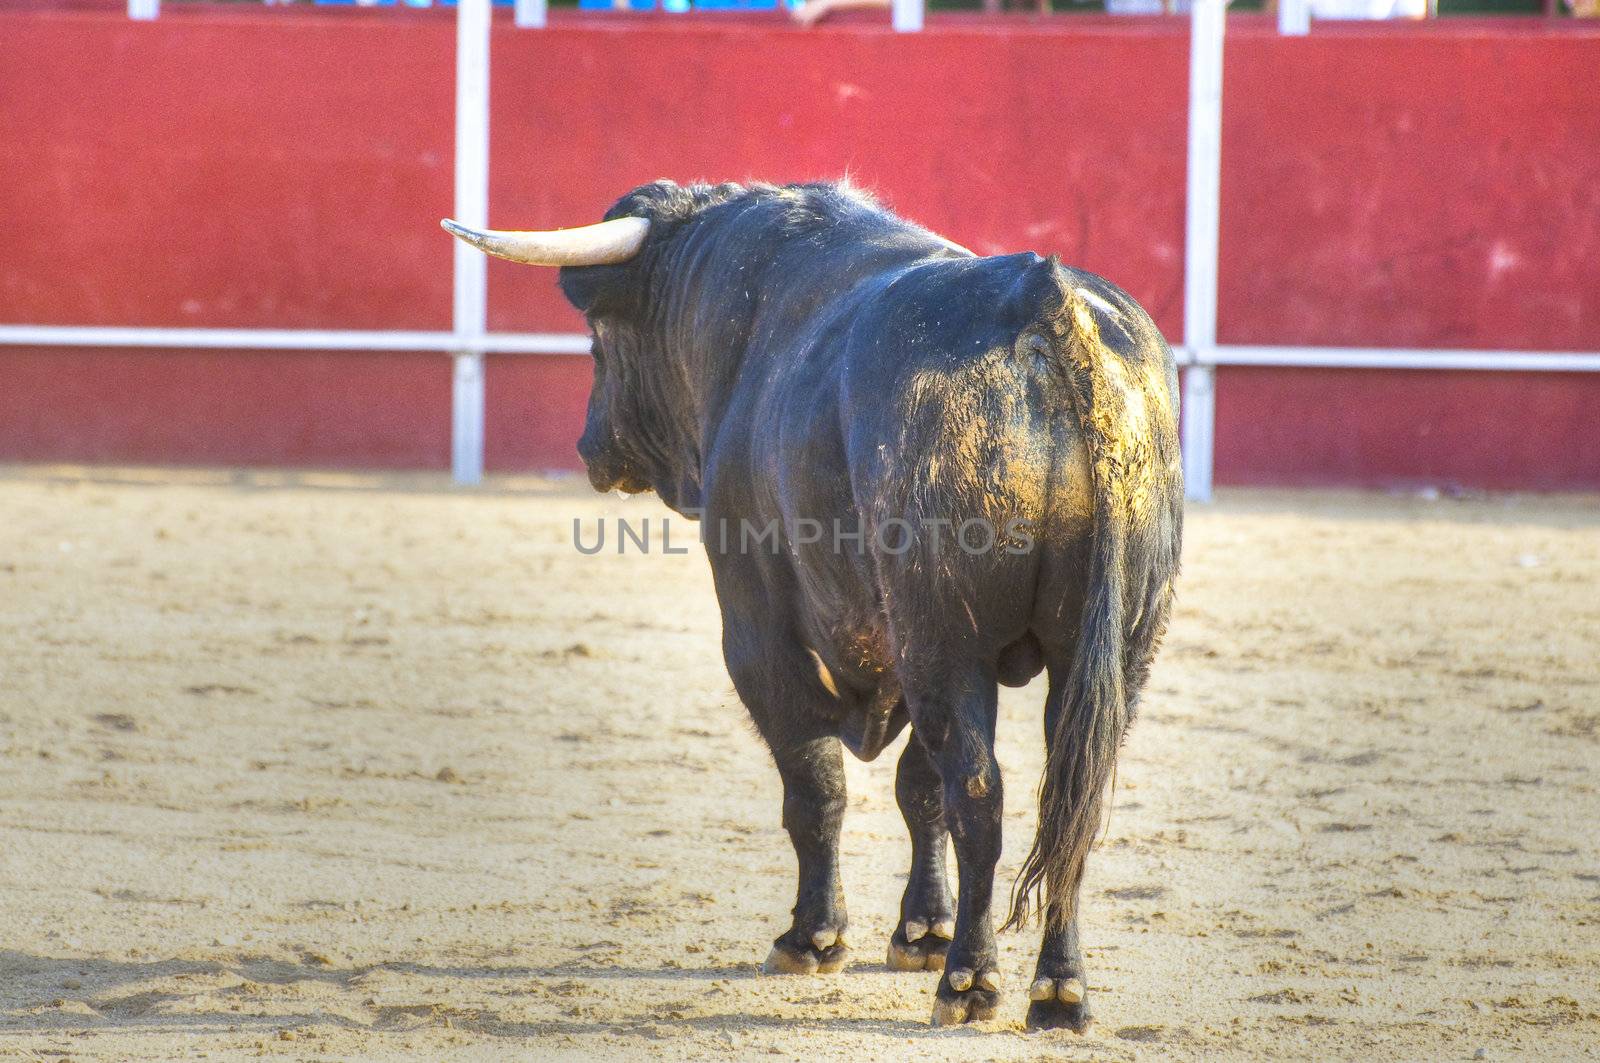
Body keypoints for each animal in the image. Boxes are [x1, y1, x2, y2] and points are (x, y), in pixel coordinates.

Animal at [534, 180, 1177, 1030]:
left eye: (599, 340)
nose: (588, 445)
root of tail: (1042, 301)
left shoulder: (761, 633)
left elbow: (818, 786)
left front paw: (813, 937)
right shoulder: (905, 646)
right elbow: (916, 789)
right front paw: (921, 931)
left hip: (946, 639)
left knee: (980, 794)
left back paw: (971, 981)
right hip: (1116, 647)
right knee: (1071, 800)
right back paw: (1058, 990)